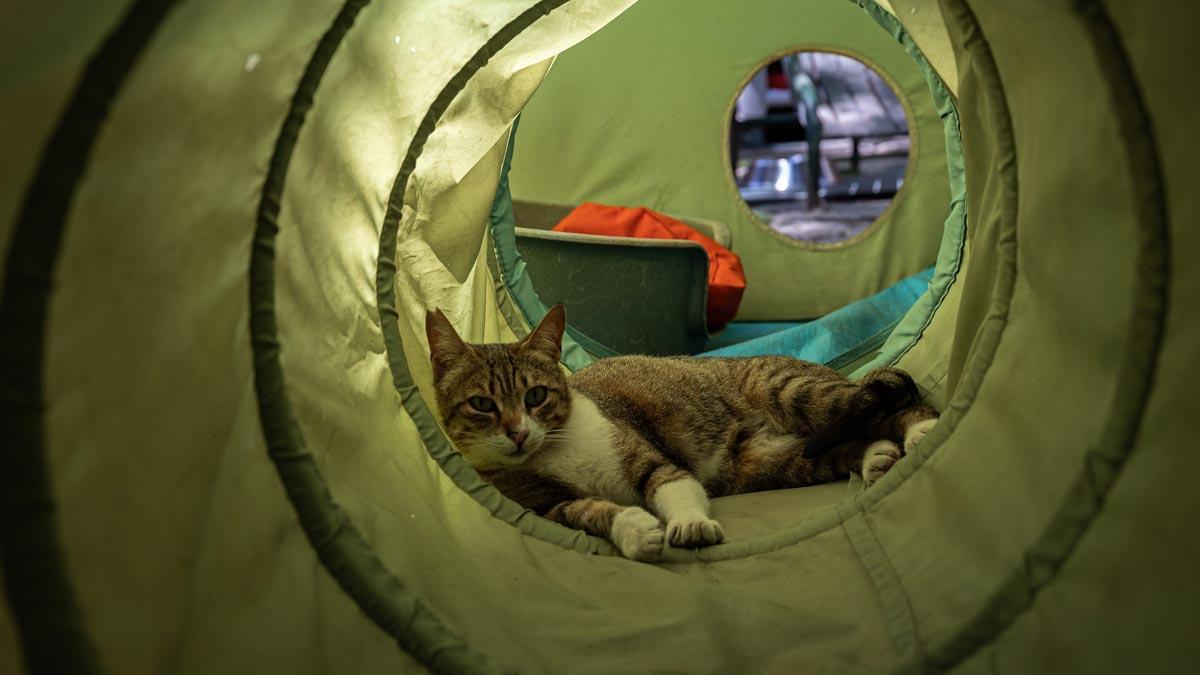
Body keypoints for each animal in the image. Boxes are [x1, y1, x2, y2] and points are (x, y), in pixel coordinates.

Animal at [427, 303, 940, 557]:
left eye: (536, 396)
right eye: (482, 404)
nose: (517, 433)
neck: (554, 452)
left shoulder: (649, 457)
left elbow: (673, 485)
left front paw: (689, 525)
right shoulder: (542, 506)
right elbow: (587, 511)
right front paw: (633, 530)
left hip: (795, 393)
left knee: (893, 401)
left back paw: (923, 432)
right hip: (773, 463)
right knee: (851, 437)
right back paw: (877, 457)